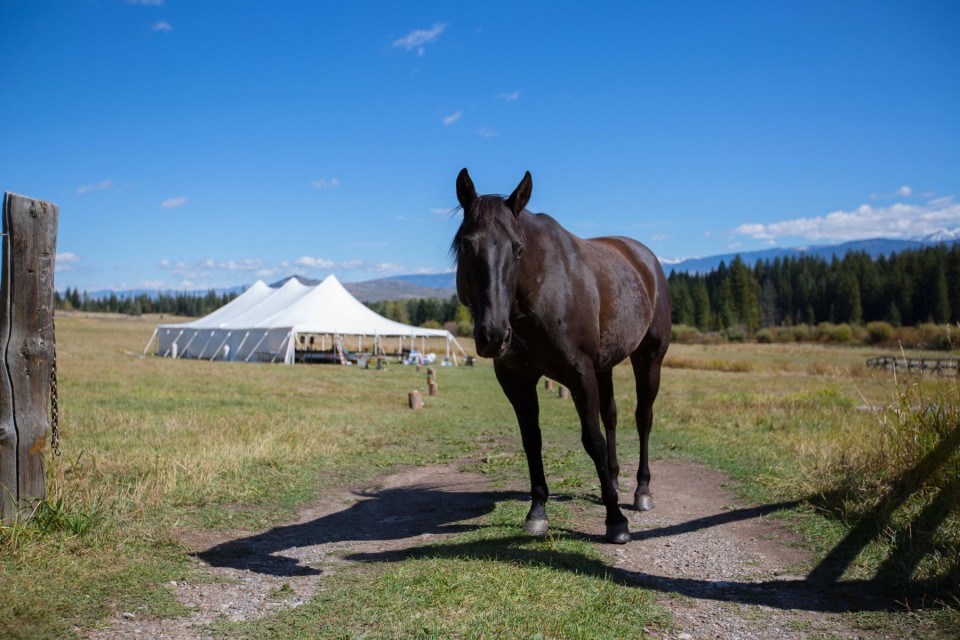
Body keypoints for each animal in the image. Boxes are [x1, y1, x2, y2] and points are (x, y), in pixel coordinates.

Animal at [452, 169, 672, 544]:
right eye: (467, 245)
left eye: (518, 248)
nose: (493, 335)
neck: (540, 291)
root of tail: (646, 260)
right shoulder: (516, 380)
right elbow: (532, 439)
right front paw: (538, 511)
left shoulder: (579, 373)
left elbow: (593, 440)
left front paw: (616, 521)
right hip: (605, 366)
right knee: (611, 416)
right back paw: (613, 480)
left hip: (648, 358)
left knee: (643, 417)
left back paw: (641, 491)